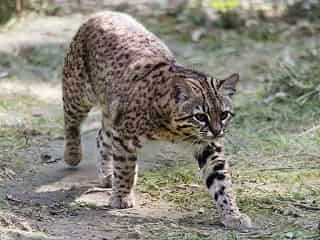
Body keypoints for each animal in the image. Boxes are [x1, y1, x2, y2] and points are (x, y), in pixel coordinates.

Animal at [62, 10, 252, 231]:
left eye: (223, 114)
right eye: (200, 116)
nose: (216, 131)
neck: (176, 130)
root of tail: (105, 13)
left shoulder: (209, 147)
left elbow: (221, 183)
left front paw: (232, 214)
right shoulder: (125, 135)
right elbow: (125, 168)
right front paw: (122, 196)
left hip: (111, 112)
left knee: (102, 136)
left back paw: (108, 174)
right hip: (77, 91)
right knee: (71, 123)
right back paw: (73, 154)